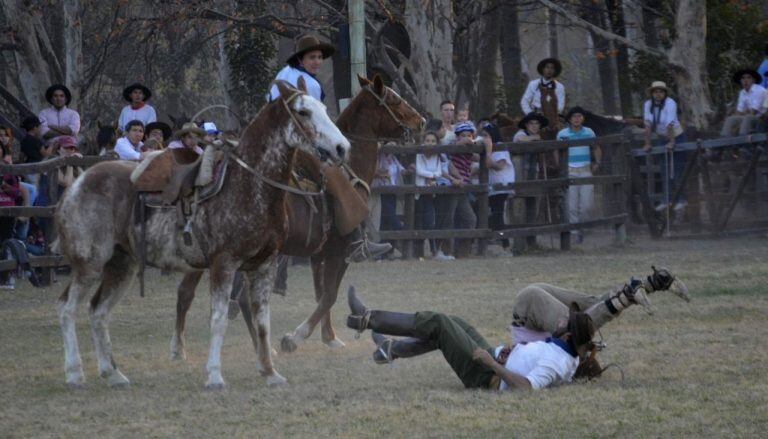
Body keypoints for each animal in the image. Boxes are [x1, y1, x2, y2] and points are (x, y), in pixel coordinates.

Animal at [54, 81, 352, 390]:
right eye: (303, 112)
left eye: (323, 108)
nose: (342, 148)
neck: (249, 187)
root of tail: (77, 183)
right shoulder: (224, 264)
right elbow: (219, 319)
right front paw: (215, 376)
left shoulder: (264, 265)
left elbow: (262, 321)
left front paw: (270, 372)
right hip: (90, 264)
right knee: (67, 308)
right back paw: (75, 373)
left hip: (122, 265)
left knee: (98, 311)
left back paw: (112, 373)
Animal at [172, 74, 426, 360]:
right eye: (394, 99)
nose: (421, 121)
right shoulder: (340, 252)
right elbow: (329, 294)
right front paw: (295, 337)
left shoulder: (318, 254)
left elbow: (321, 293)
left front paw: (329, 337)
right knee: (241, 298)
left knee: (188, 292)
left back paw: (183, 348)